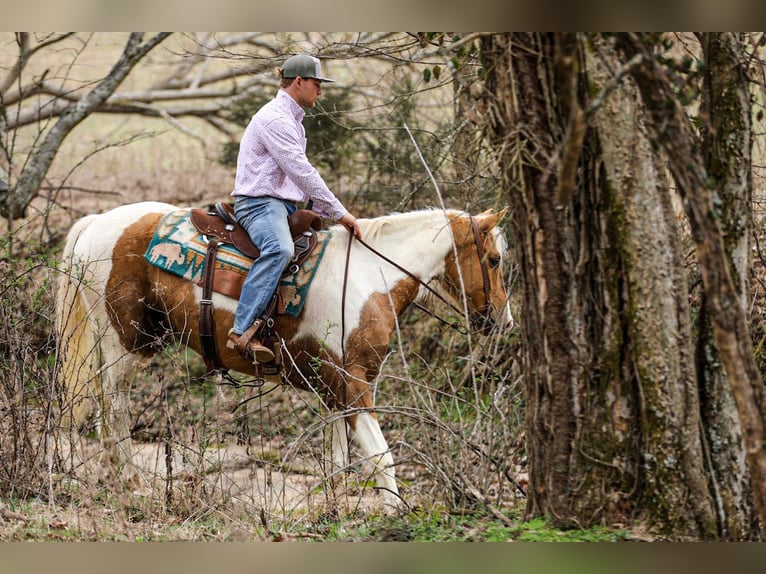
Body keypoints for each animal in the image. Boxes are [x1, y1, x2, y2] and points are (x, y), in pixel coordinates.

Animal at [55, 201, 514, 511]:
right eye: (494, 259)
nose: (504, 322)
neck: (368, 277)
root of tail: (97, 222)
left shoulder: (336, 389)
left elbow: (338, 457)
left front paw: (335, 509)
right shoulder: (354, 384)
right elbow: (381, 456)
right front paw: (396, 514)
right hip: (127, 343)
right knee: (112, 406)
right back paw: (129, 479)